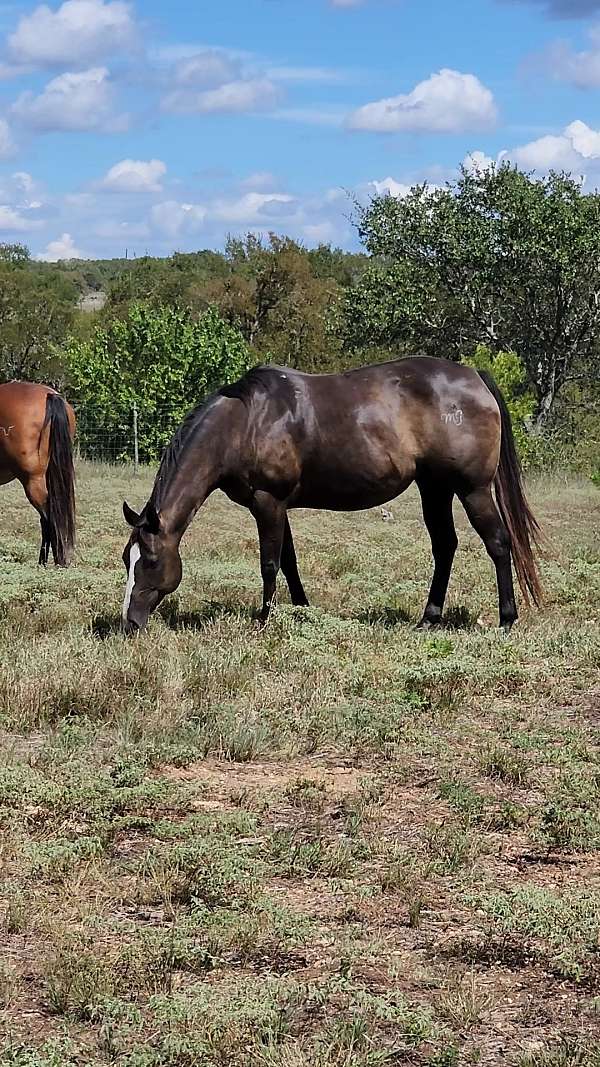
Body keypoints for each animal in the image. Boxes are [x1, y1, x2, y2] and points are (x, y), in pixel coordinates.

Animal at [119, 354, 540, 631]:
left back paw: (506, 619)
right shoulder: (278, 506)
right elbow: (288, 561)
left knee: (498, 543)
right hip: (434, 488)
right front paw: (301, 611)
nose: (130, 623)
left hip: (472, 490)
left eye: (151, 561)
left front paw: (263, 621)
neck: (244, 423)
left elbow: (269, 563)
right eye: (127, 558)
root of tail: (475, 377)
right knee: (445, 546)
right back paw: (428, 619)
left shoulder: (267, 503)